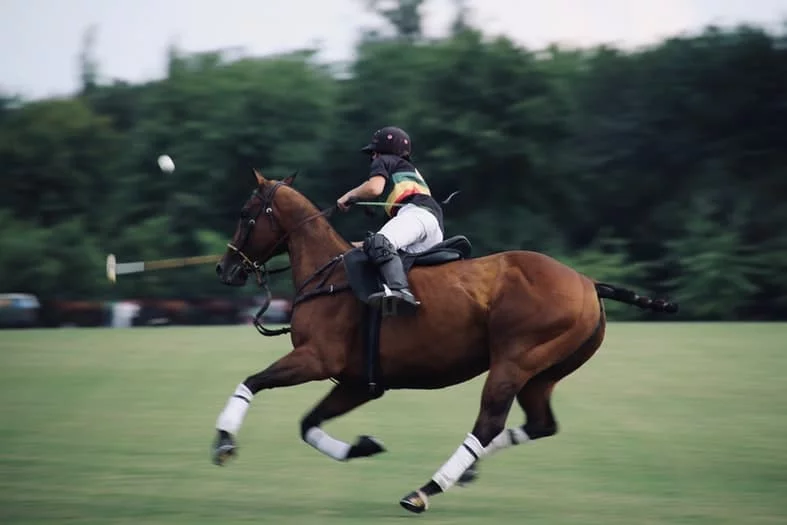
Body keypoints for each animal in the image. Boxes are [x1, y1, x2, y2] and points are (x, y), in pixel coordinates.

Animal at [212, 169, 678, 514]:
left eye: (245, 213)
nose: (224, 268)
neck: (327, 275)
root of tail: (588, 282)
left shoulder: (316, 358)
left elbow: (252, 381)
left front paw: (223, 442)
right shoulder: (358, 382)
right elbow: (308, 424)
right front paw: (364, 446)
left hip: (514, 361)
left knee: (489, 424)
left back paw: (425, 489)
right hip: (543, 372)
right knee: (539, 424)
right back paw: (465, 473)